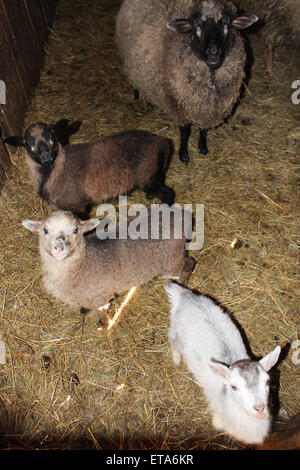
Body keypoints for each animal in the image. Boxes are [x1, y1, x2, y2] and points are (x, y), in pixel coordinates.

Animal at [165, 280, 282, 446]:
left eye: (267, 382)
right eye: (234, 387)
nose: (259, 409)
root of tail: (185, 295)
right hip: (176, 330)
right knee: (173, 342)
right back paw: (176, 360)